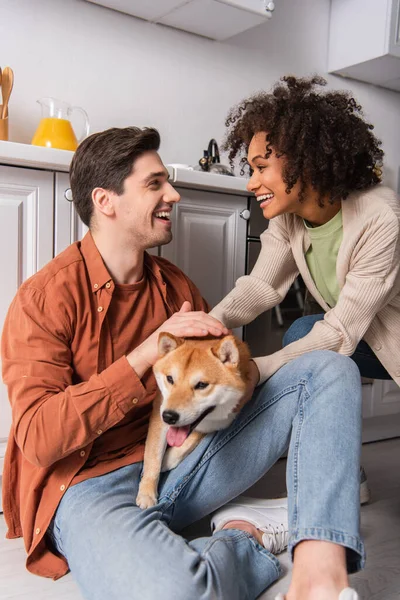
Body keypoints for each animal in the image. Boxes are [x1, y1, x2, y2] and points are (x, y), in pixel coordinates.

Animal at [136, 330, 252, 508]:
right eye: (170, 379)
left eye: (201, 385)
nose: (169, 416)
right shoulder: (158, 410)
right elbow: (153, 456)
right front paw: (147, 493)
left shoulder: (222, 420)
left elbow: (190, 441)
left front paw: (168, 459)